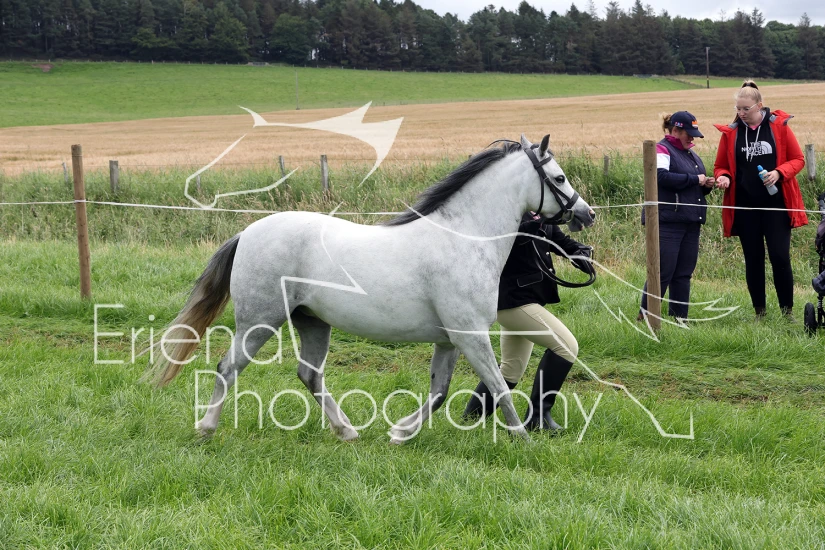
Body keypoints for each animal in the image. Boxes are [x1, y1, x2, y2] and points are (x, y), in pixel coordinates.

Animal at [145, 134, 595, 443]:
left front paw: (400, 432)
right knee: (228, 368)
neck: (465, 238)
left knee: (309, 375)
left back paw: (346, 431)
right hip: (259, 321)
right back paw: (207, 427)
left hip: (312, 322)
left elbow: (440, 392)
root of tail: (248, 232)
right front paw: (522, 439)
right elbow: (499, 387)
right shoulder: (471, 335)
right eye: (559, 177)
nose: (586, 214)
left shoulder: (450, 340)